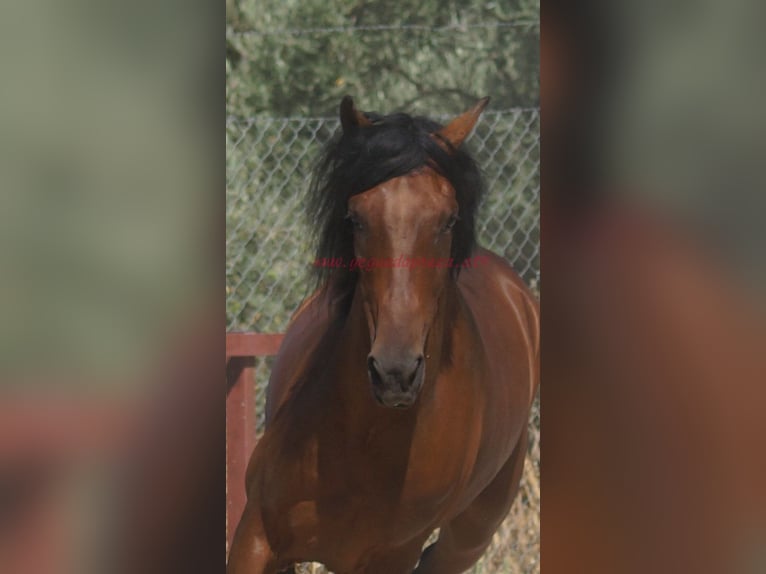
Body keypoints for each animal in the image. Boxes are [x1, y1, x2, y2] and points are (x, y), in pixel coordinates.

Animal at [227, 96, 539, 574]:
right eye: (355, 218)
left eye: (449, 220)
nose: (395, 372)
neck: (365, 438)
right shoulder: (257, 536)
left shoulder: (389, 556)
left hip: (470, 536)